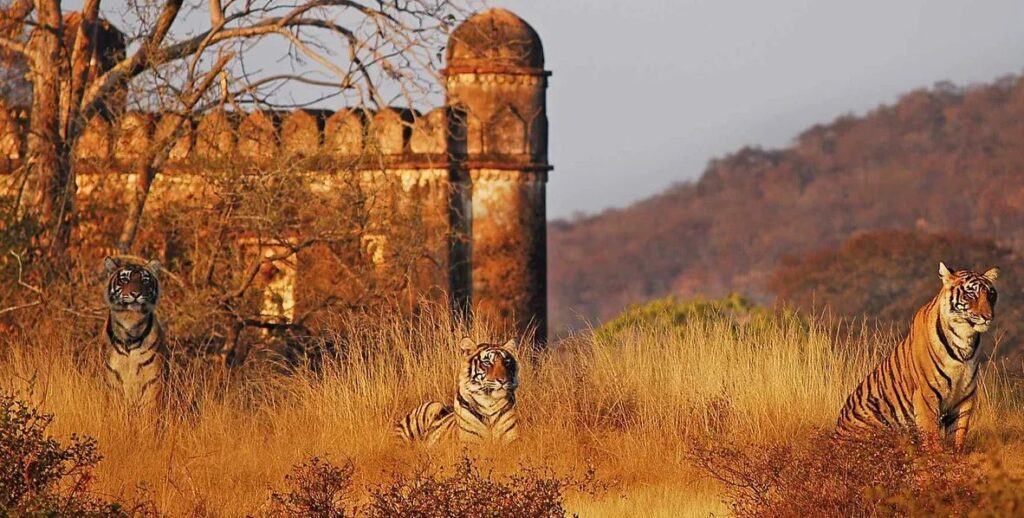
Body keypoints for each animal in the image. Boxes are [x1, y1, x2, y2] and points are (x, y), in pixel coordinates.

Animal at [102, 255, 168, 416]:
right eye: (124, 280)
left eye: (145, 281)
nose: (136, 294)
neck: (130, 322)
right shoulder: (113, 378)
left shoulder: (152, 379)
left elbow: (149, 412)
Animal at [836, 262, 999, 450]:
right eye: (971, 294)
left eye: (991, 295)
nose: (988, 317)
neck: (964, 339)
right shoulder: (926, 395)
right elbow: (932, 436)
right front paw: (936, 456)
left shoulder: (965, 396)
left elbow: (959, 434)